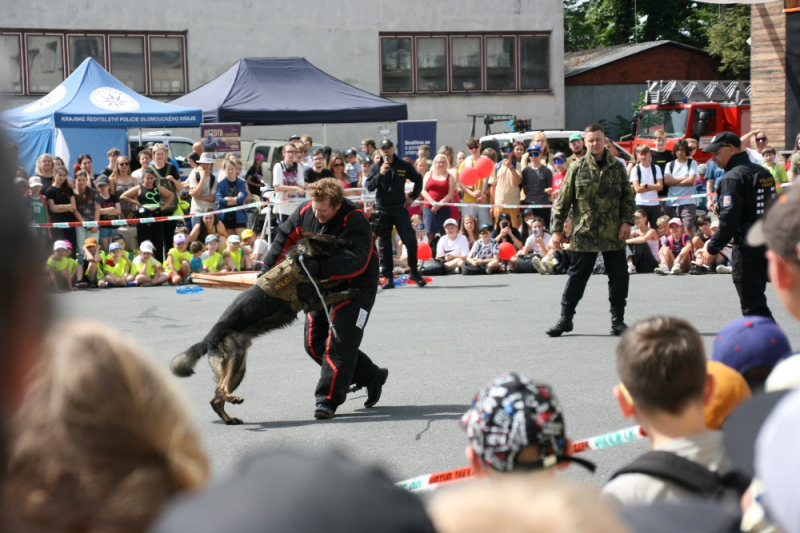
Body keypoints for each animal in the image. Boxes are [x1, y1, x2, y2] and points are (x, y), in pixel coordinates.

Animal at [173, 233, 358, 424]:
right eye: (337, 241)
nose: (351, 242)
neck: (303, 256)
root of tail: (209, 338)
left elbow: (328, 282)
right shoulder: (313, 301)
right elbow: (332, 289)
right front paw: (349, 290)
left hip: (239, 370)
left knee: (216, 398)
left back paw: (230, 418)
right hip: (235, 359)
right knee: (221, 390)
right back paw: (233, 399)